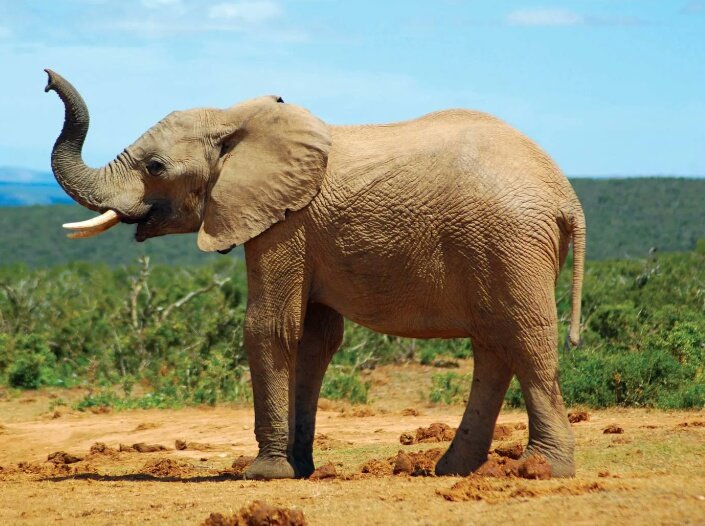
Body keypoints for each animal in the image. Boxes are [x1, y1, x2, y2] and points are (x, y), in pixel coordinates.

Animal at [44, 69, 585, 480]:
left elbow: (269, 328)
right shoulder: (301, 229)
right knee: (493, 344)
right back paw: (453, 470)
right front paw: (297, 470)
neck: (236, 120)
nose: (47, 80)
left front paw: (262, 474)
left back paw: (541, 470)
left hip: (510, 242)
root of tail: (567, 196)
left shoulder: (285, 222)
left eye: (155, 167)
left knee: (523, 337)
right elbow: (313, 338)